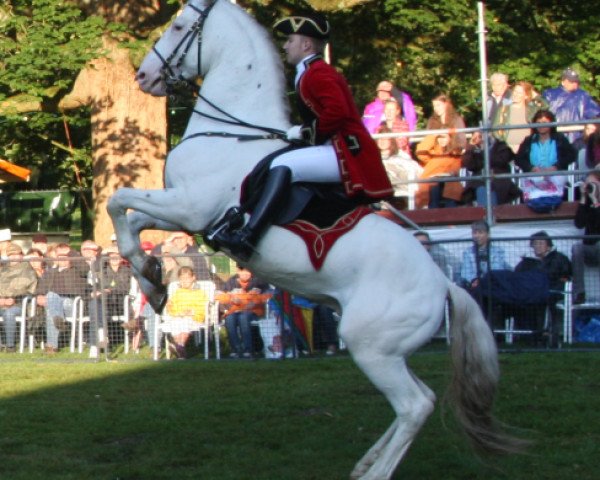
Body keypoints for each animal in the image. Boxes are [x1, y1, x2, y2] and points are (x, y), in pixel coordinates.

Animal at [110, 1, 524, 478]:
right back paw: (367, 461)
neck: (232, 133)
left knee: (415, 405)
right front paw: (152, 278)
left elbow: (119, 203)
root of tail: (444, 285)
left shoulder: (190, 207)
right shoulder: (186, 212)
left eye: (178, 26)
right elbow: (134, 222)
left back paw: (375, 472)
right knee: (418, 399)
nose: (144, 76)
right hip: (387, 349)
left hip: (371, 346)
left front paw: (149, 274)